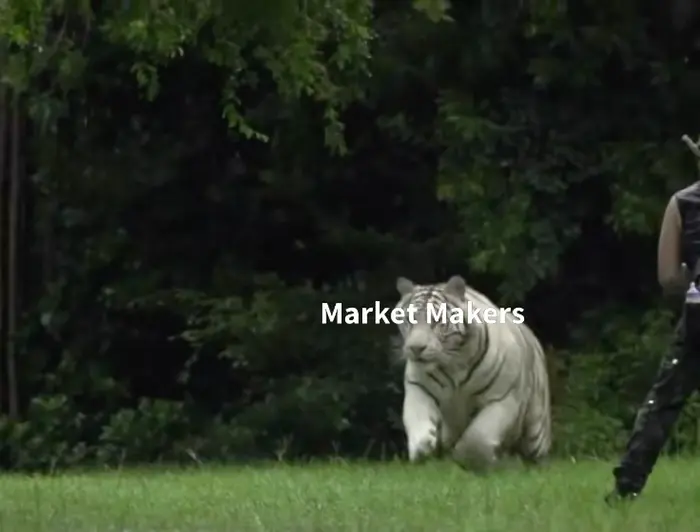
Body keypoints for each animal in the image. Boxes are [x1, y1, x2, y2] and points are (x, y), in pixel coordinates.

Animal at [392, 274, 551, 472]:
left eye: (437, 321)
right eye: (409, 320)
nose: (415, 348)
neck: (454, 363)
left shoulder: (502, 398)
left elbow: (478, 437)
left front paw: (467, 457)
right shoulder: (419, 387)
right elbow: (418, 420)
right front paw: (424, 449)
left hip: (536, 429)